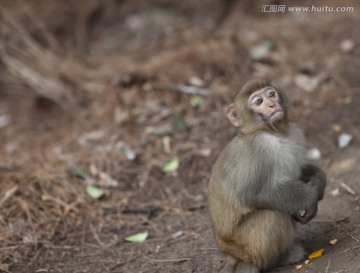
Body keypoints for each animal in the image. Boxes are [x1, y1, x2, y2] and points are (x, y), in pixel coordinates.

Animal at [208, 78, 326, 272]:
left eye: (271, 94)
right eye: (258, 102)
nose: (272, 104)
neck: (272, 131)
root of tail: (233, 258)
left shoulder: (295, 134)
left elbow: (299, 171)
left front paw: (319, 181)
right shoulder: (259, 149)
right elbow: (255, 194)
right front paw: (310, 197)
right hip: (246, 247)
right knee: (272, 215)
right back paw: (277, 260)